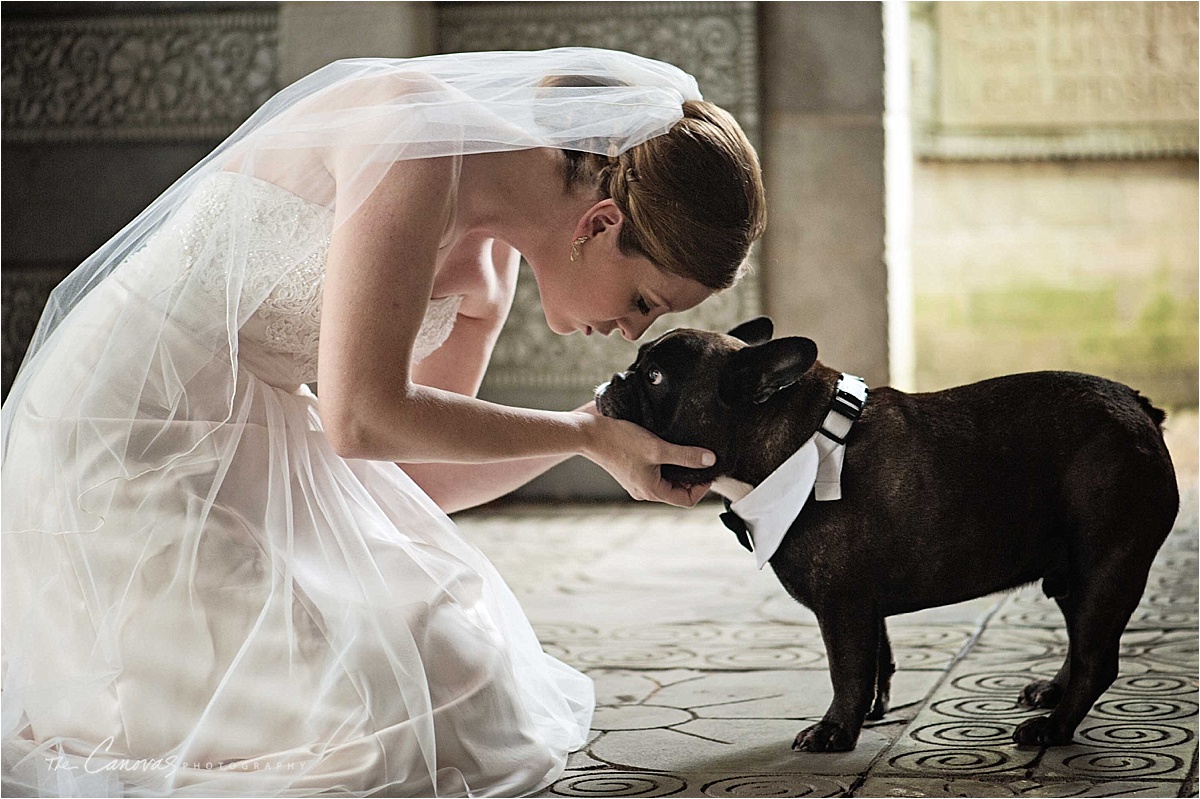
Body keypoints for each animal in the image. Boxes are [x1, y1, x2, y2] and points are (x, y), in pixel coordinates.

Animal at [595, 316, 1176, 748]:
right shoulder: (864, 604)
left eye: (655, 378)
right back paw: (1051, 696)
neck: (795, 442)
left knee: (1096, 659)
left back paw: (1052, 730)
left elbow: (846, 668)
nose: (614, 379)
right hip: (1073, 574)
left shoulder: (842, 603)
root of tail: (1138, 406)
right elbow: (878, 657)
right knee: (1080, 646)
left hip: (1106, 564)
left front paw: (833, 732)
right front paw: (870, 714)